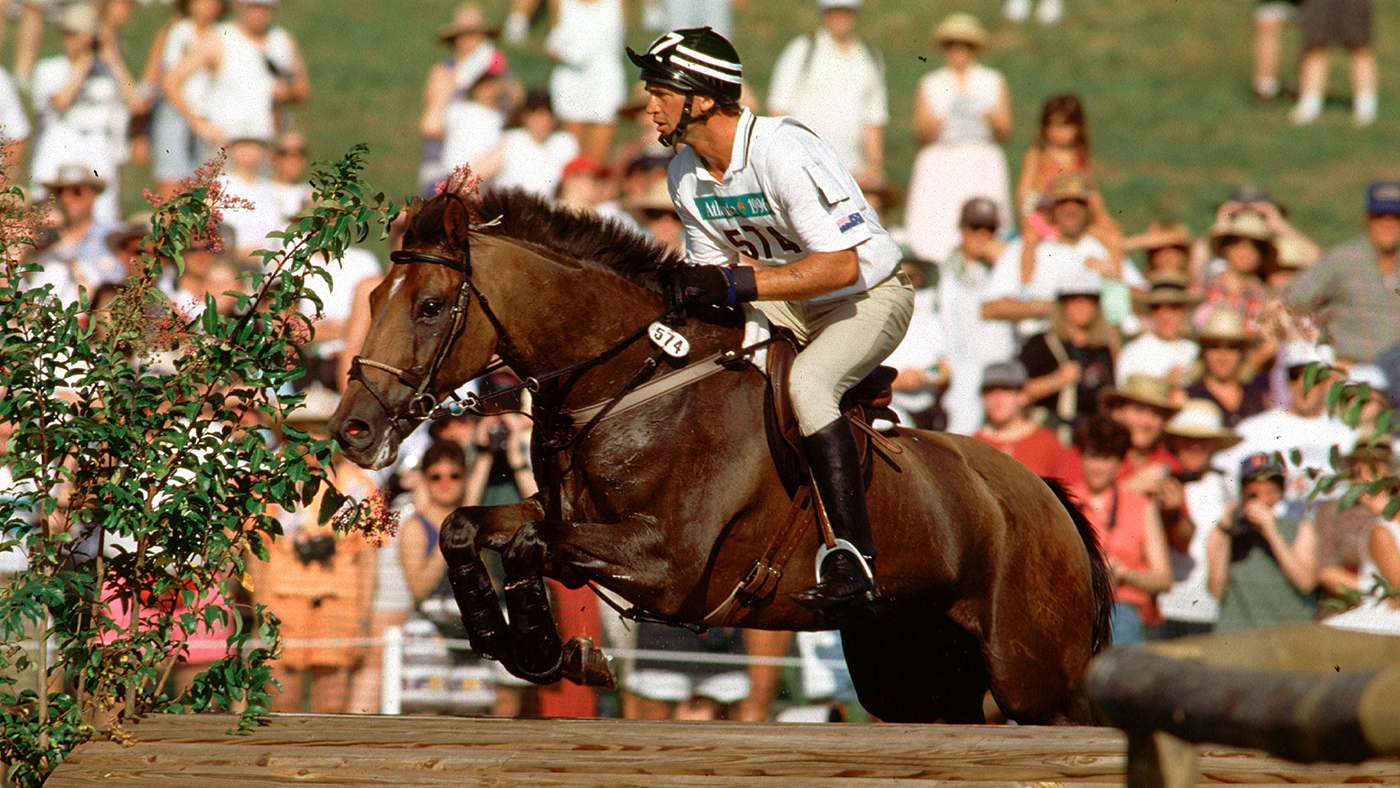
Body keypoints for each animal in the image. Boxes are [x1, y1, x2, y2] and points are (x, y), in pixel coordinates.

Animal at [330, 188, 1114, 722]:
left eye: (431, 307)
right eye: (370, 299)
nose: (353, 430)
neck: (631, 381)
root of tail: (1043, 493)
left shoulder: (668, 564)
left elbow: (530, 546)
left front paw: (548, 650)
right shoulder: (558, 512)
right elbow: (468, 527)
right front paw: (513, 639)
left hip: (1032, 676)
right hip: (910, 674)